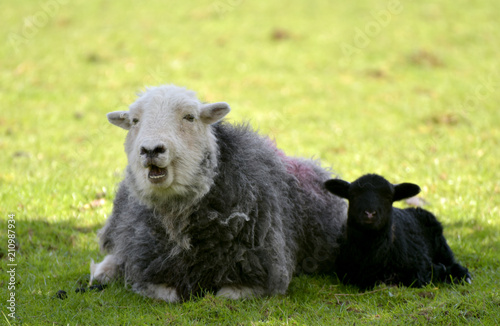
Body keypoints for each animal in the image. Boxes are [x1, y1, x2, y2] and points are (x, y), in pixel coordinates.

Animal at [90, 84, 348, 304]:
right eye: (135, 121)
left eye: (190, 117)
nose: (151, 150)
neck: (178, 215)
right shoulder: (149, 269)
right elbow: (165, 293)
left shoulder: (260, 276)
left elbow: (223, 297)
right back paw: (104, 272)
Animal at [322, 173, 470, 290]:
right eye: (352, 195)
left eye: (388, 197)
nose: (369, 214)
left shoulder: (419, 268)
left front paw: (439, 271)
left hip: (441, 247)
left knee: (452, 263)